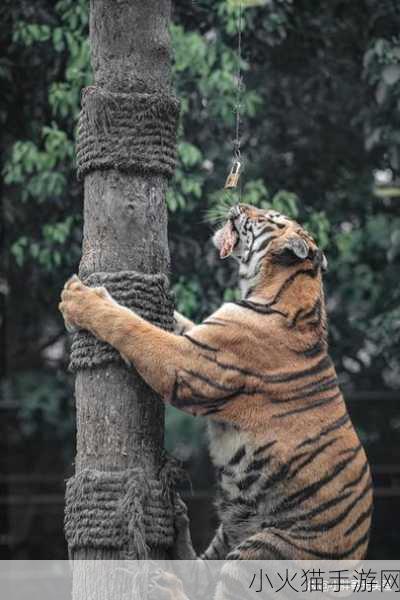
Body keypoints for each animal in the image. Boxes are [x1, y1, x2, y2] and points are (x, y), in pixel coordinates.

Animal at [58, 202, 372, 564]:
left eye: (267, 215)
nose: (240, 204)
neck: (280, 286)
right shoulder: (197, 340)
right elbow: (173, 323)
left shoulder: (186, 363)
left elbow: (133, 328)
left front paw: (78, 298)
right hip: (228, 536)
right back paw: (177, 520)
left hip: (267, 549)